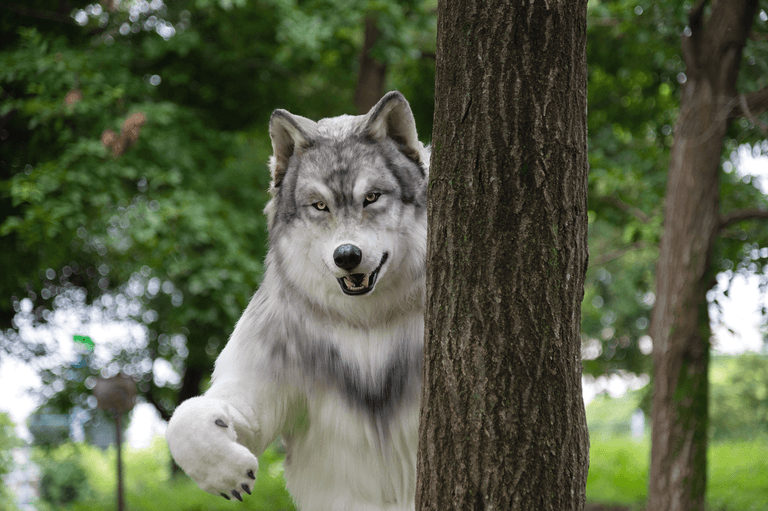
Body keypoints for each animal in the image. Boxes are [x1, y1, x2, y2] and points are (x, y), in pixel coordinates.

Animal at [166, 91, 429, 511]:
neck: (366, 323)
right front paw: (224, 472)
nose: (347, 255)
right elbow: (183, 417)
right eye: (319, 206)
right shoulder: (250, 403)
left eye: (371, 198)